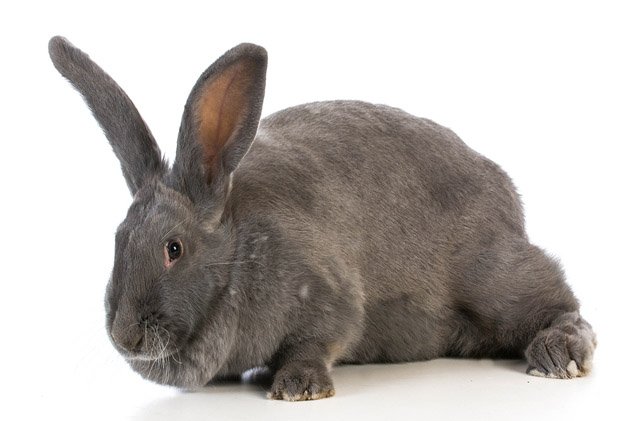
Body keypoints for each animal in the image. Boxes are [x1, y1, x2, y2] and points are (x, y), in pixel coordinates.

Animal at [48, 37, 596, 400]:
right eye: (118, 239)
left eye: (174, 249)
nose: (125, 336)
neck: (236, 252)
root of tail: (507, 196)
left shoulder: (330, 297)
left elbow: (317, 339)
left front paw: (297, 387)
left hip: (492, 275)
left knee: (558, 300)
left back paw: (558, 357)